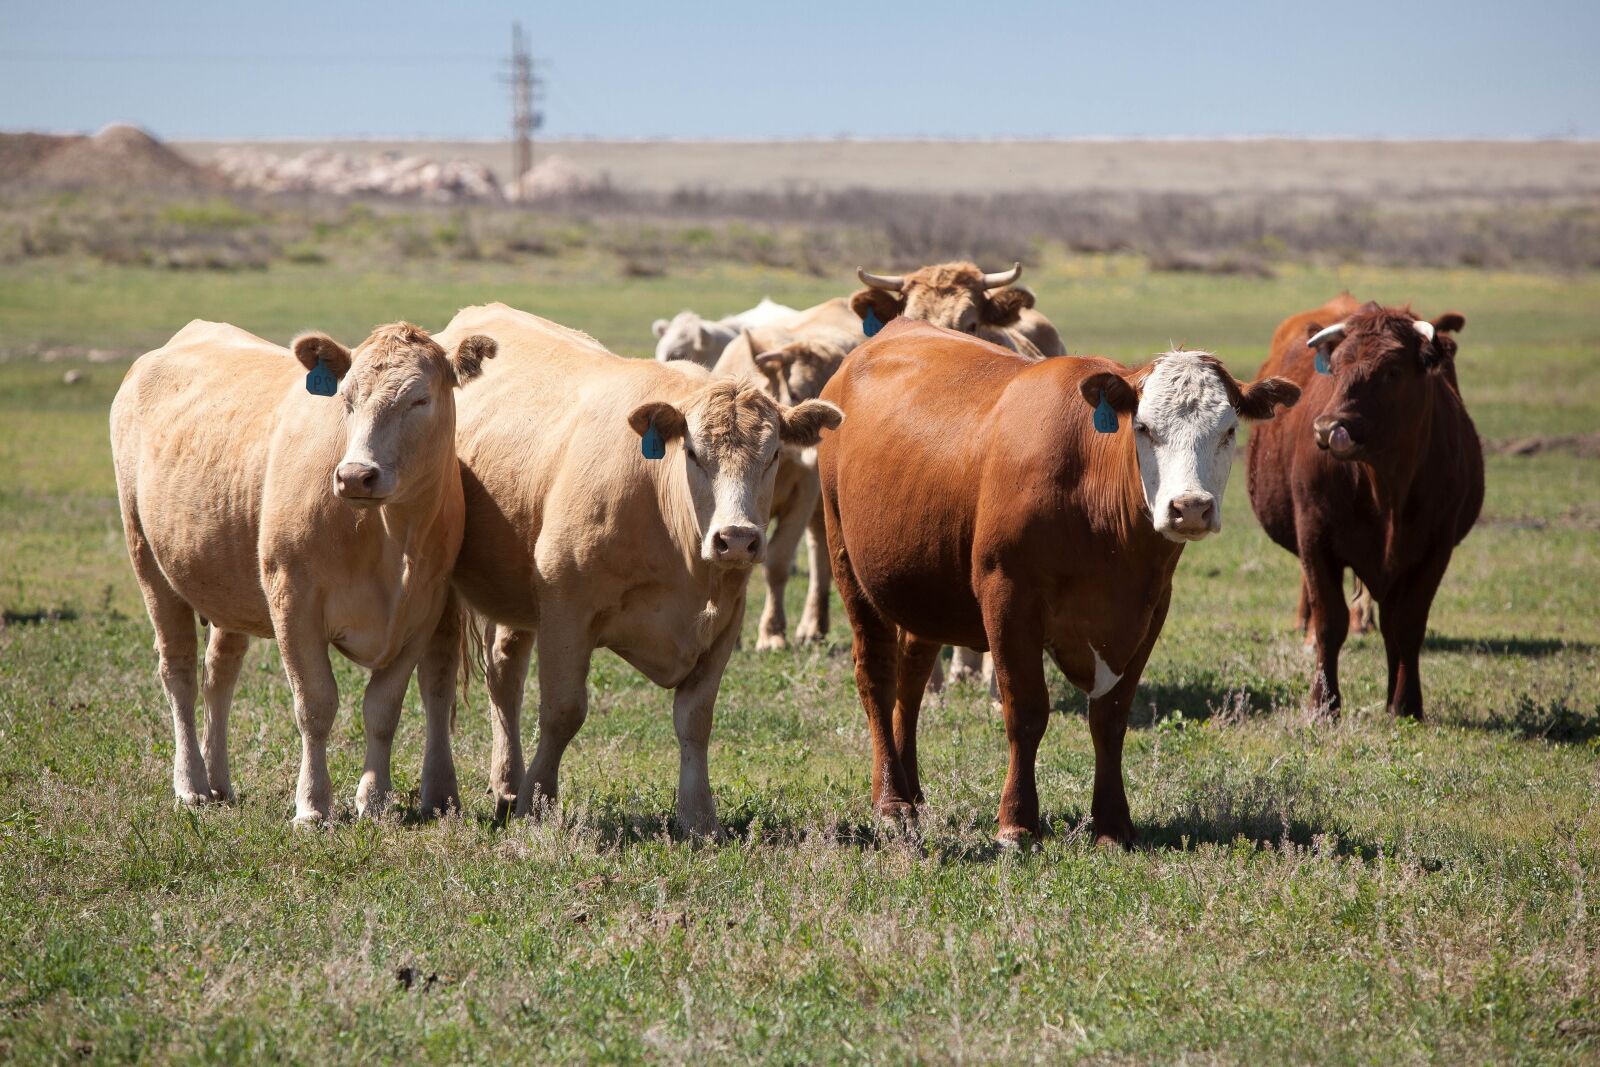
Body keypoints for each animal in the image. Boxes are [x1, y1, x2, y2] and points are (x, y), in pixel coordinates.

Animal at [110, 319, 495, 822]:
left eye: (419, 399)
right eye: (346, 399)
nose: (355, 475)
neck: (389, 536)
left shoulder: (422, 613)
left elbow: (383, 708)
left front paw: (374, 798)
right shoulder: (293, 599)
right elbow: (315, 704)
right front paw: (312, 805)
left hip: (228, 582)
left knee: (219, 673)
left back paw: (219, 783)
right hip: (149, 561)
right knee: (179, 672)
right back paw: (191, 784)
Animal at [711, 297, 862, 650]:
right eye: (795, 391)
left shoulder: (803, 495)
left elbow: (777, 562)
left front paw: (772, 633)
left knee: (821, 555)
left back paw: (811, 625)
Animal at [818, 319, 1298, 846]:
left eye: (1229, 430)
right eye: (1144, 428)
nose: (1189, 507)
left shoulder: (1150, 608)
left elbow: (1110, 718)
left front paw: (1112, 823)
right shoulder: (1007, 595)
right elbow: (1026, 711)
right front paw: (1017, 822)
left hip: (923, 586)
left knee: (912, 675)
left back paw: (912, 788)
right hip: (847, 561)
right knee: (878, 677)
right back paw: (892, 800)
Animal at [1246, 298, 1480, 720]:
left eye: (1392, 371)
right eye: (1336, 367)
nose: (1327, 426)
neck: (1385, 485)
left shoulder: (1434, 550)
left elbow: (1407, 626)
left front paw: (1406, 704)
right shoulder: (1315, 539)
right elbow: (1330, 621)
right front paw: (1323, 705)